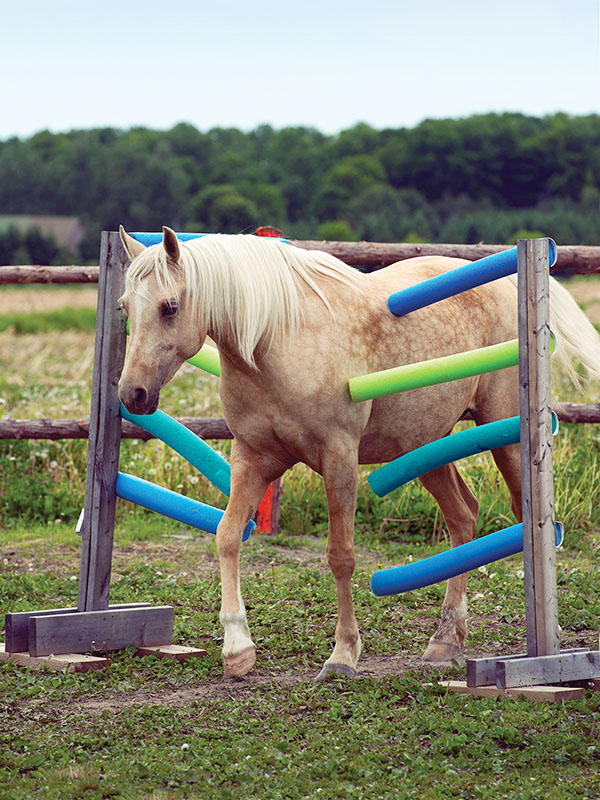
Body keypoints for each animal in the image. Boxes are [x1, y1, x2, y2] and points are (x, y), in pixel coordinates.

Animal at [118, 226, 600, 680]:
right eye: (123, 306)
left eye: (170, 306)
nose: (132, 394)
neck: (278, 340)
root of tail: (508, 286)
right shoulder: (252, 460)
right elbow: (228, 535)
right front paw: (238, 648)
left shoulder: (339, 461)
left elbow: (341, 556)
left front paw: (343, 655)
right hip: (426, 447)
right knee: (463, 517)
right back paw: (445, 639)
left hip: (508, 440)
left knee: (528, 520)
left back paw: (547, 637)